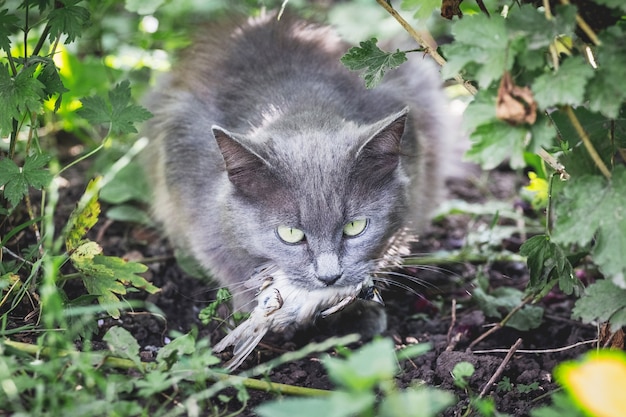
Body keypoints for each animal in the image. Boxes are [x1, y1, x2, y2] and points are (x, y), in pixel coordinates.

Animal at [143, 11, 448, 336]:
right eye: (290, 234)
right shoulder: (199, 215)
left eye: (355, 227)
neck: (294, 104)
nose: (329, 277)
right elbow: (230, 266)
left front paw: (360, 312)